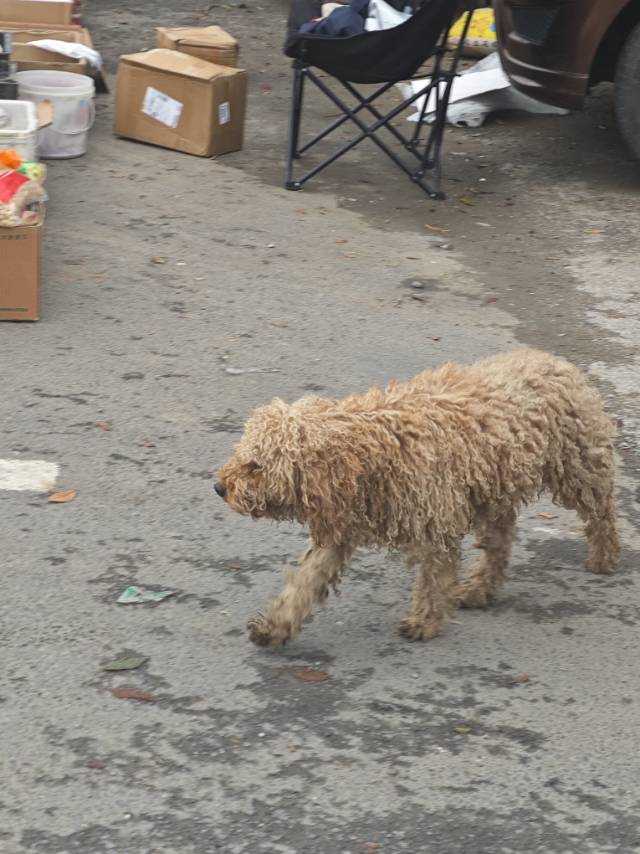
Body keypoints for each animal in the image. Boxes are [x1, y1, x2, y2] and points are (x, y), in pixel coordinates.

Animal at [215, 352, 620, 644]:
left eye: (255, 465)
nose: (220, 487)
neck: (371, 451)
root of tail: (557, 361)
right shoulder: (341, 527)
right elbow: (306, 582)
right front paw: (277, 625)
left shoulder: (435, 524)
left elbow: (433, 579)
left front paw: (425, 622)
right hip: (495, 489)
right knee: (500, 543)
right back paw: (479, 589)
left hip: (578, 466)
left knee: (601, 512)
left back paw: (604, 556)